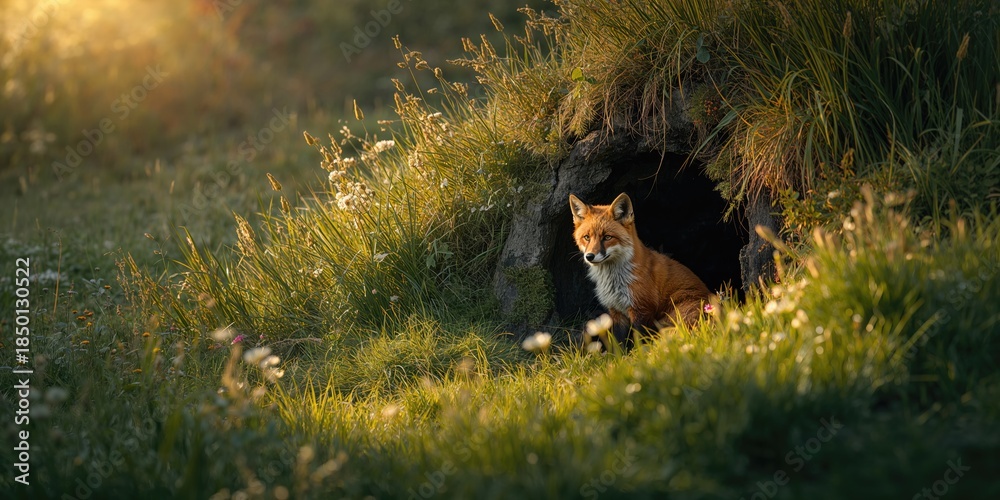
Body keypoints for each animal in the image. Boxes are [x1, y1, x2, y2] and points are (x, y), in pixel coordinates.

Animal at [569, 192, 712, 344]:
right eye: (586, 237)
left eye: (607, 237)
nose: (589, 256)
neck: (614, 281)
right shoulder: (616, 311)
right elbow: (619, 342)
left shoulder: (642, 309)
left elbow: (640, 339)